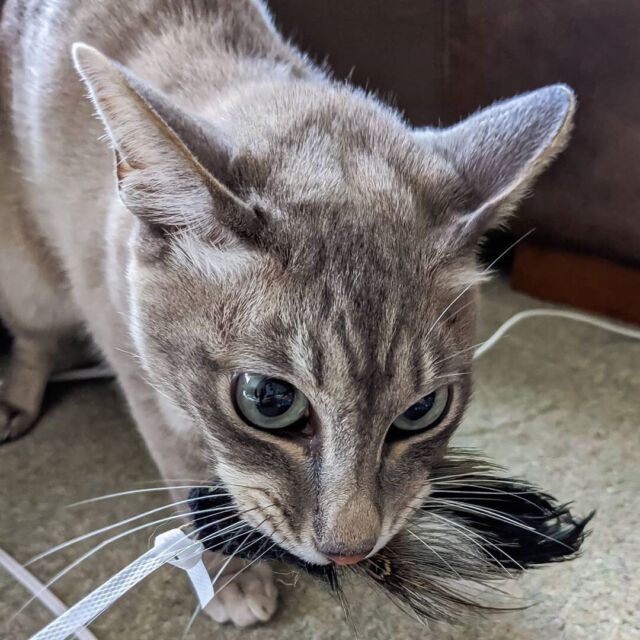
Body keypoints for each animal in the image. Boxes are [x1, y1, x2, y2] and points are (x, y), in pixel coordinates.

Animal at [0, 0, 572, 632]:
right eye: (269, 401)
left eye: (423, 410)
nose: (350, 551)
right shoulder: (136, 365)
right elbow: (188, 466)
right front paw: (230, 573)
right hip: (26, 280)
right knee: (33, 338)